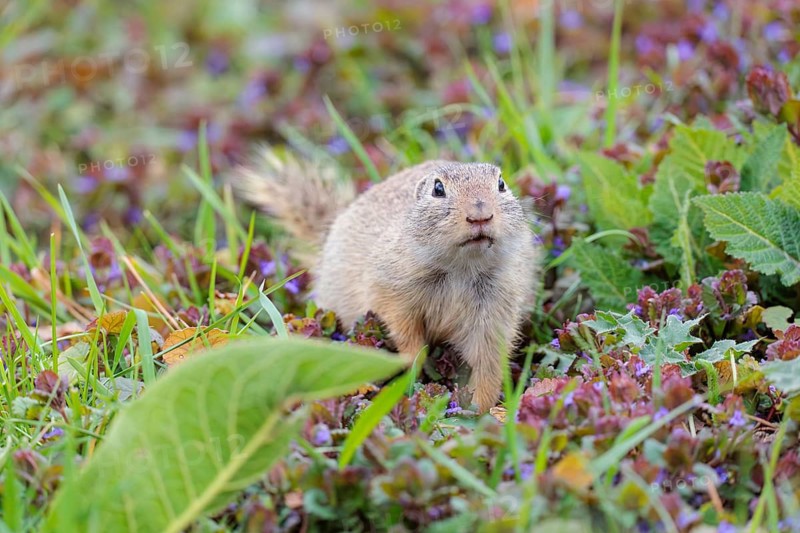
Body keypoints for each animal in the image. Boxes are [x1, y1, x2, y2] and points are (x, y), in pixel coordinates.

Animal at [232, 150, 539, 412]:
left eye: (501, 183)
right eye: (438, 189)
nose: (480, 215)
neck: (460, 269)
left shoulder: (495, 310)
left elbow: (488, 361)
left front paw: (481, 409)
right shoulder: (390, 290)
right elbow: (403, 330)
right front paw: (411, 367)